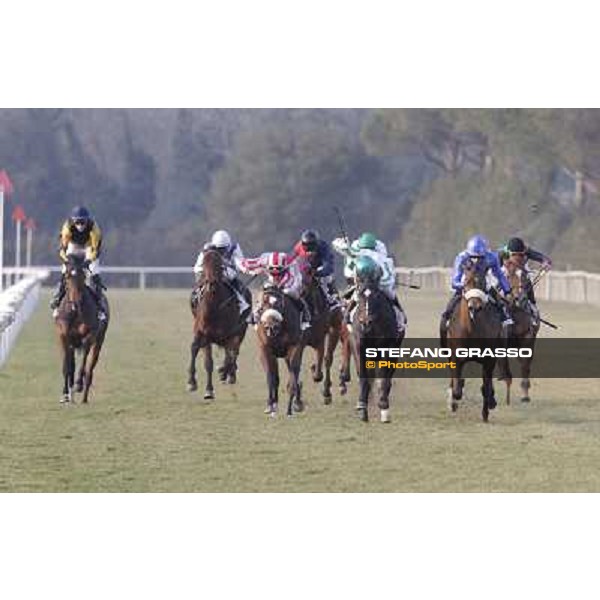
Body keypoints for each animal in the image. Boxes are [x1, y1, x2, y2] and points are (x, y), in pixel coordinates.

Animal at [54, 252, 109, 404]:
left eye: (83, 276)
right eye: (67, 276)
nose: (76, 302)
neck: (75, 313)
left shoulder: (89, 336)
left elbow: (84, 360)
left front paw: (79, 384)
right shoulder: (63, 337)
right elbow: (66, 366)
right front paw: (65, 394)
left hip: (99, 341)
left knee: (90, 368)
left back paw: (84, 395)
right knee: (72, 365)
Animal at [188, 251, 248, 400]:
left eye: (220, 263)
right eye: (204, 263)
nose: (212, 284)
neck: (215, 308)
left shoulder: (232, 334)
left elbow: (231, 356)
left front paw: (224, 372)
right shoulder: (204, 335)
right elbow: (206, 360)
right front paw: (204, 388)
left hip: (241, 331)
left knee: (233, 353)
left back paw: (228, 374)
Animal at [255, 284, 308, 418]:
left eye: (279, 303)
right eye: (262, 305)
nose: (271, 327)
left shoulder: (294, 347)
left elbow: (293, 376)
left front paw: (290, 409)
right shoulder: (265, 349)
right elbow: (272, 377)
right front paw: (270, 405)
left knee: (294, 372)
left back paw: (297, 402)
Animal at [442, 262, 504, 422]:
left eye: (482, 283)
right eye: (466, 282)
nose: (474, 306)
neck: (472, 330)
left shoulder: (489, 359)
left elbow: (486, 387)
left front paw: (486, 411)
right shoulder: (456, 357)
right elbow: (457, 389)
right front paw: (453, 400)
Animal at [496, 260, 540, 406]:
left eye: (525, 277)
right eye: (509, 275)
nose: (517, 297)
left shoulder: (528, 337)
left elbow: (525, 365)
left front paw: (525, 395)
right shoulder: (502, 337)